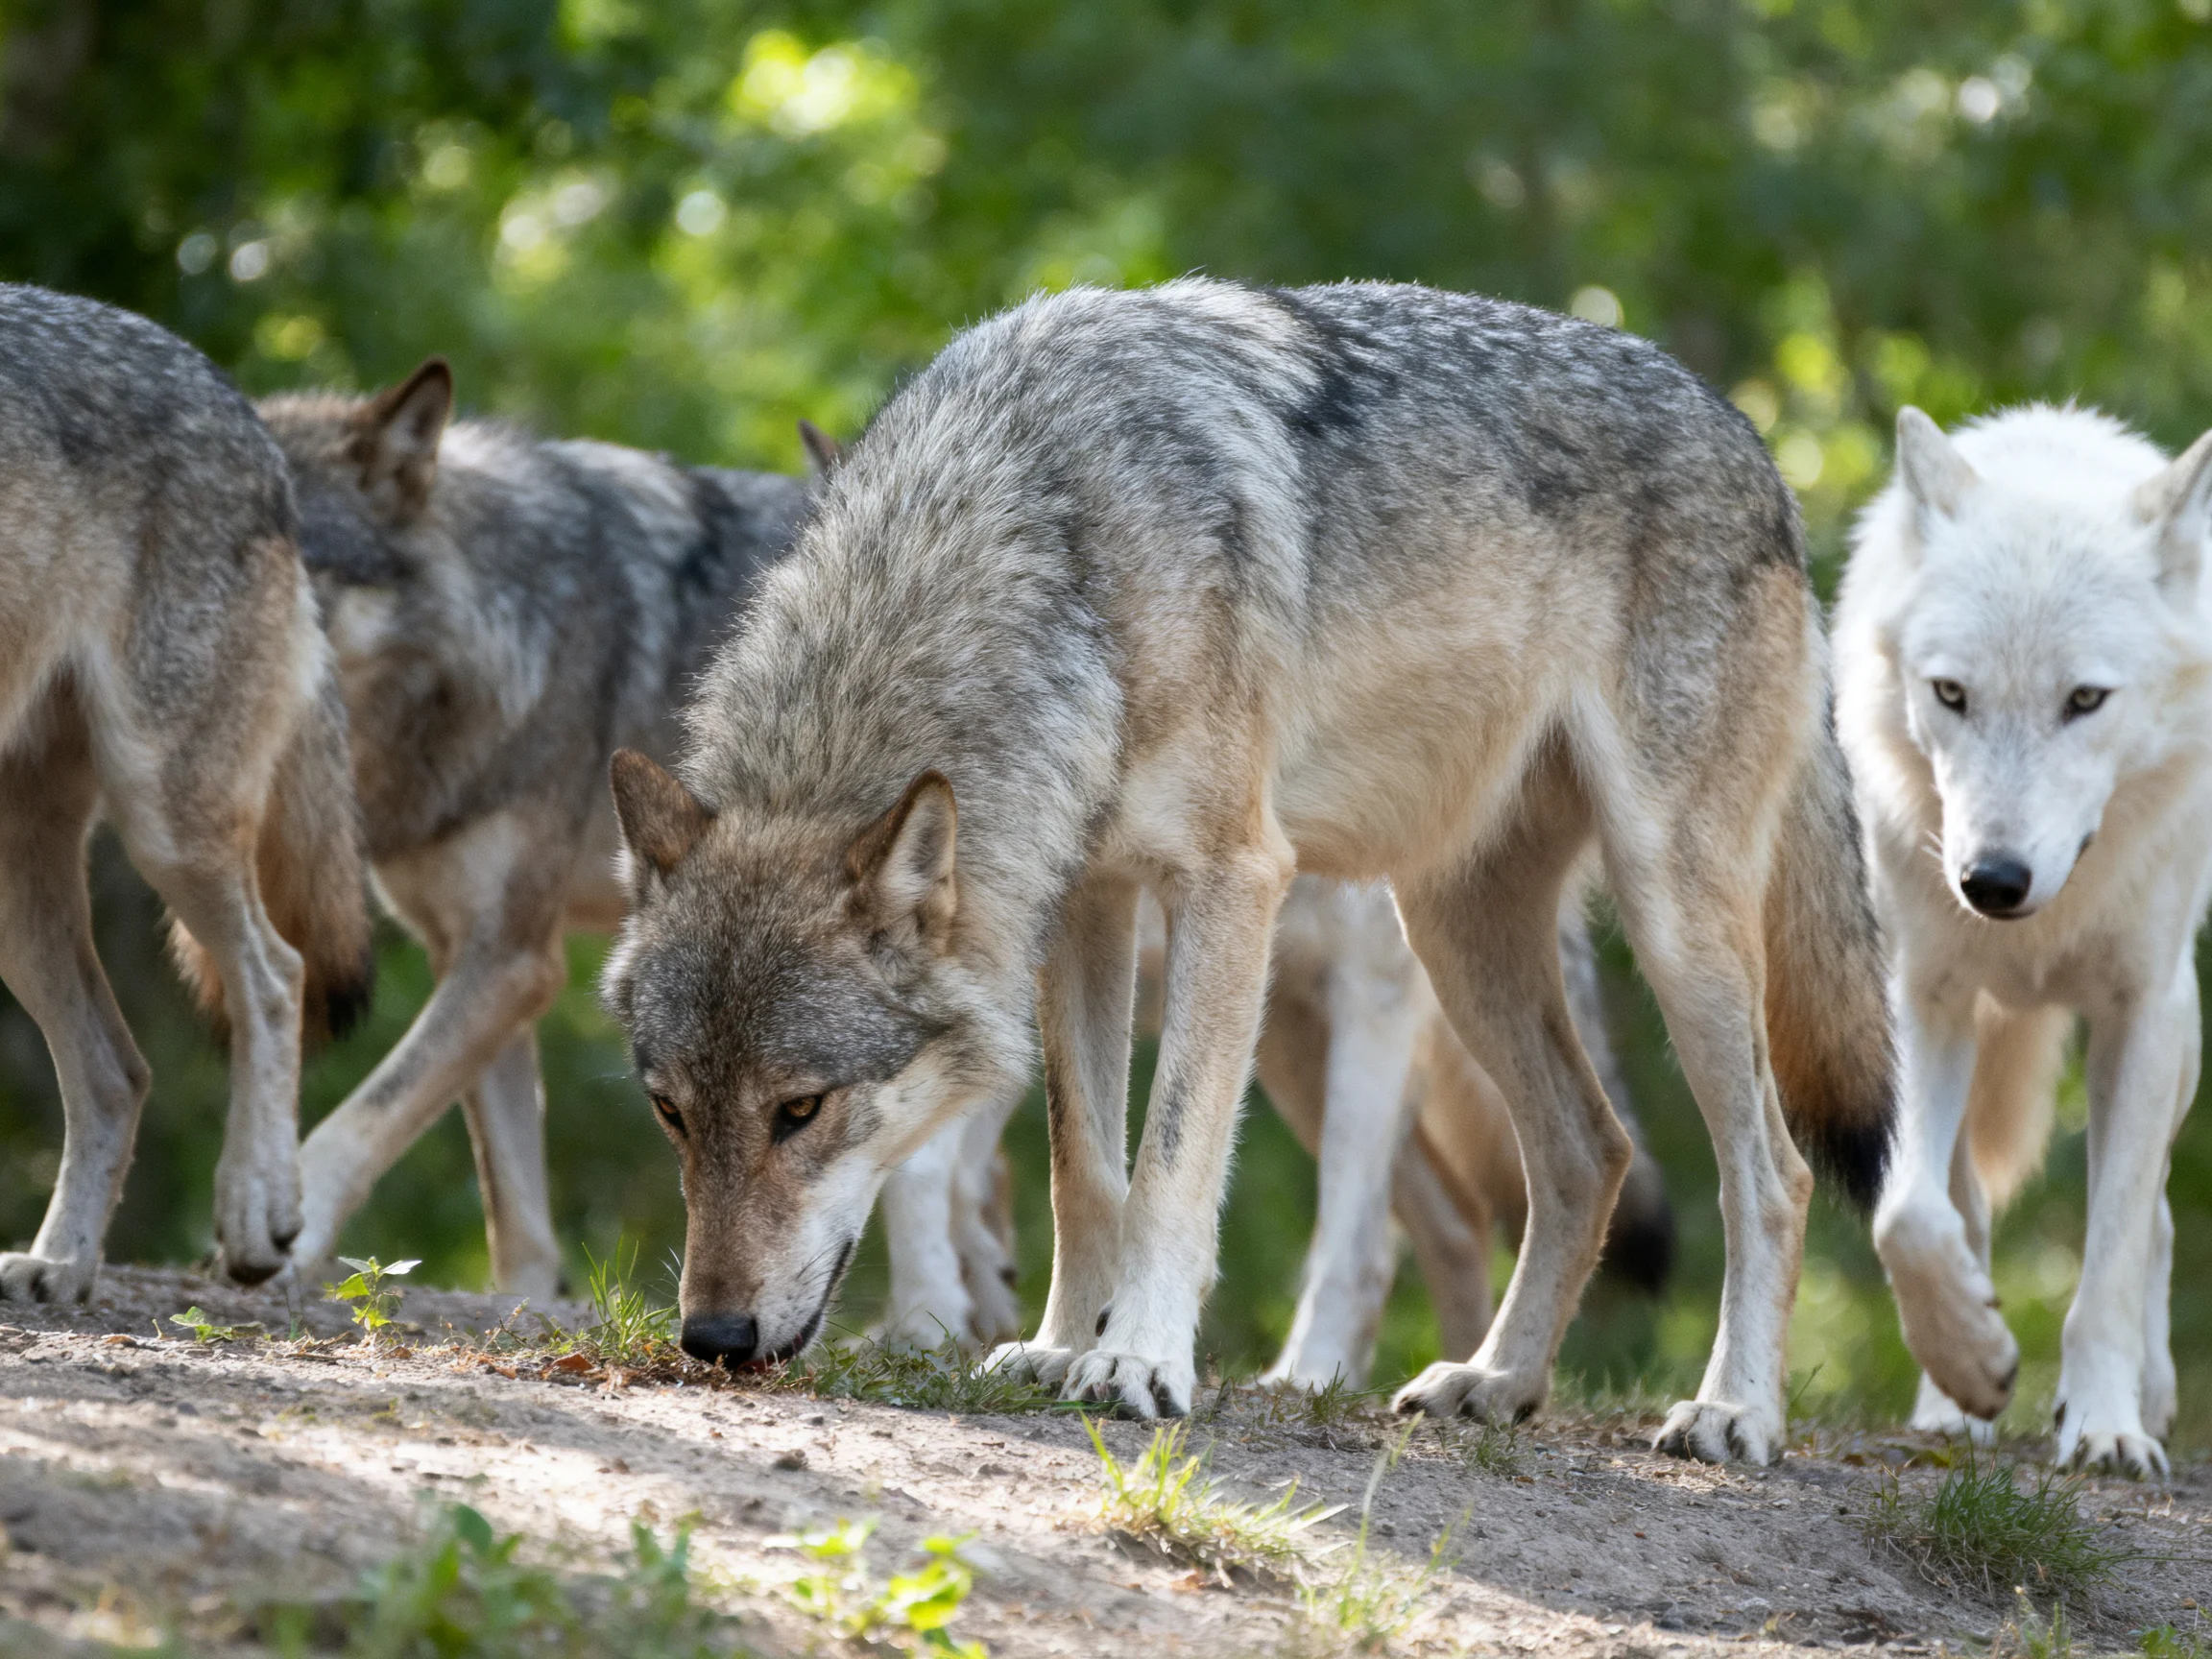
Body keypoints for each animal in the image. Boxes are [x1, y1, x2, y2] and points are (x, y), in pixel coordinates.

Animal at [254, 362, 810, 1298]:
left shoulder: (512, 961)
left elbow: (359, 1119)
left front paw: (285, 1240)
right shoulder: (475, 958)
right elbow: (515, 1209)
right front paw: (523, 1307)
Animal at [603, 278, 1892, 1463]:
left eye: (801, 1110)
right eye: (670, 1113)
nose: (711, 1338)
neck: (1047, 536)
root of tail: (1757, 448)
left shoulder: (1229, 880)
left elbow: (1171, 1161)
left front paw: (1136, 1362)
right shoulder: (1086, 904)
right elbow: (1085, 1166)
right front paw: (1062, 1346)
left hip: (1666, 922)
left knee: (1771, 1172)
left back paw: (1733, 1413)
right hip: (1457, 937)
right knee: (1592, 1152)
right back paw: (1496, 1382)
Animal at [1839, 405, 2212, 1477]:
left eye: (2085, 699)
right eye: (1950, 694)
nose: (1992, 882)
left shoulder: (2142, 1014)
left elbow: (2113, 1253)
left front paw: (2108, 1426)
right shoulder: (1918, 994)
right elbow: (1910, 1212)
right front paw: (1972, 1364)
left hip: (2180, 1043)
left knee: (2157, 1216)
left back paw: (2151, 1394)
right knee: (1958, 1198)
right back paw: (1950, 1400)